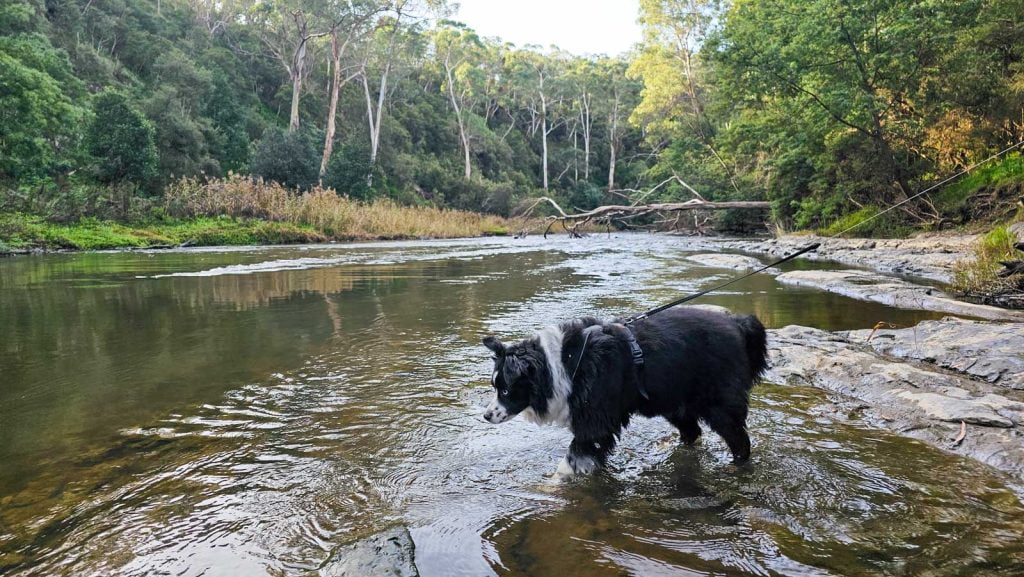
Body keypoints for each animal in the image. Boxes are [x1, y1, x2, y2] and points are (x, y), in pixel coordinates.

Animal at [483, 307, 765, 479]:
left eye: (505, 390)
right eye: (495, 386)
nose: (486, 416)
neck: (565, 363)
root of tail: (739, 325)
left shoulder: (596, 415)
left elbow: (577, 452)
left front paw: (550, 485)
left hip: (719, 399)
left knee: (738, 438)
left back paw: (736, 466)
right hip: (675, 400)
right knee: (692, 431)